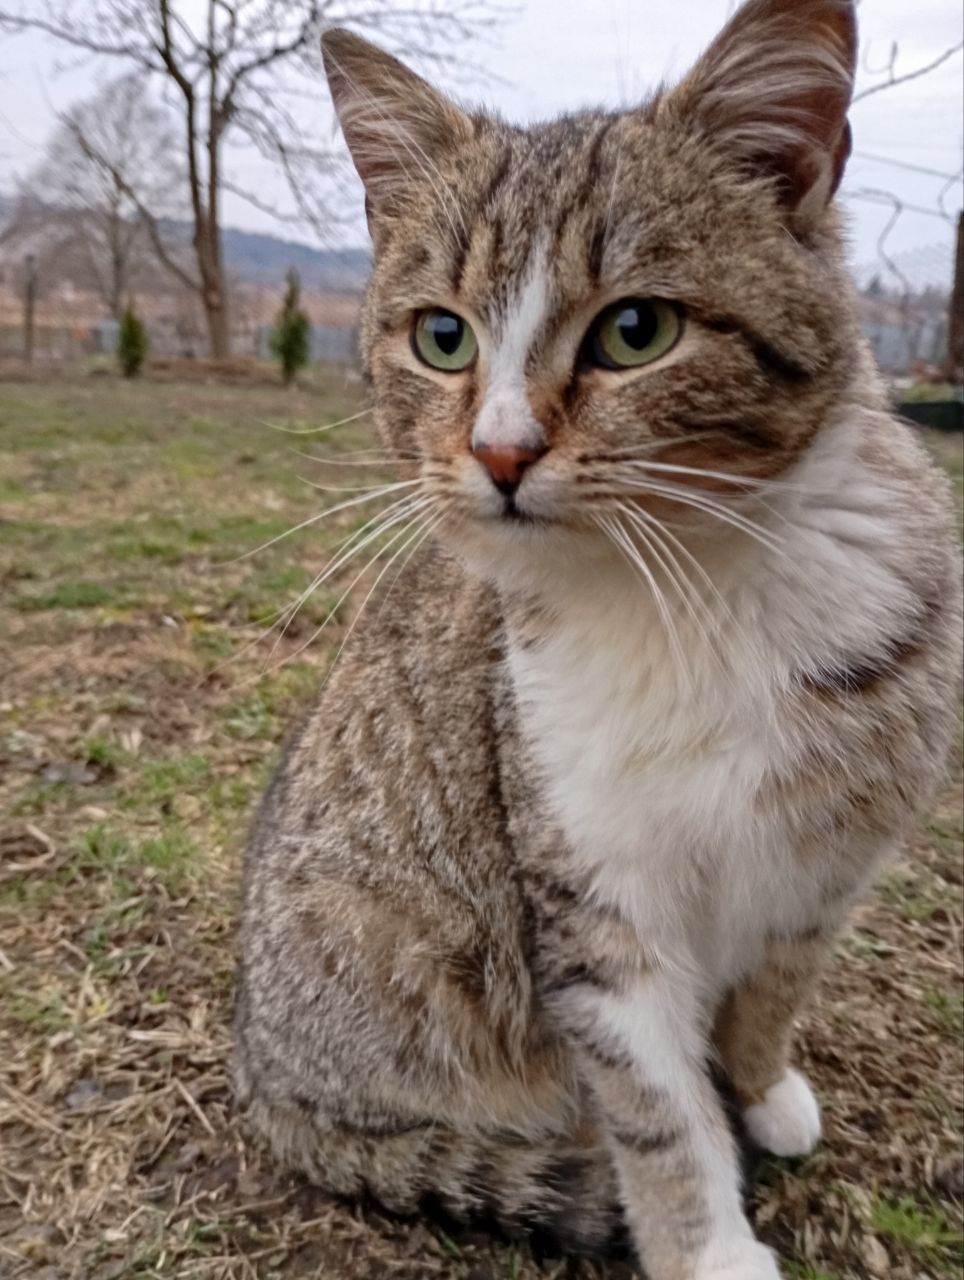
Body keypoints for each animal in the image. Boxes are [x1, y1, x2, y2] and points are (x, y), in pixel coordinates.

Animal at [235, 5, 962, 1274]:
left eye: (635, 330)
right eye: (441, 336)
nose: (499, 450)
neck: (690, 587)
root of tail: (259, 1080)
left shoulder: (824, 865)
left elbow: (772, 991)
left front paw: (761, 1087)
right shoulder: (589, 897)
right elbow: (656, 1105)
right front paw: (710, 1244)